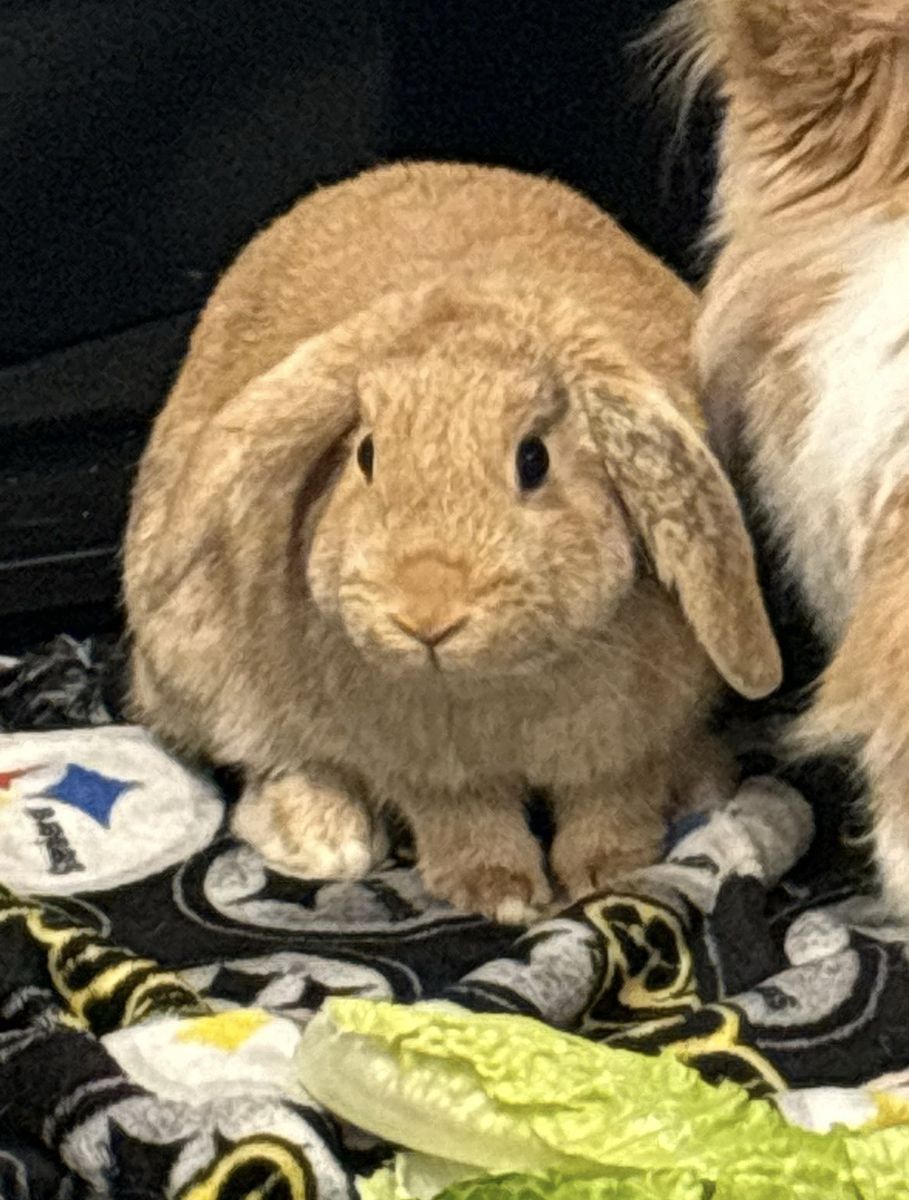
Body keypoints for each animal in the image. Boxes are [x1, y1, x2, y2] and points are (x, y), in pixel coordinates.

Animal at [123, 161, 781, 923]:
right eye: (366, 455)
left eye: (533, 460)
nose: (425, 613)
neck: (493, 681)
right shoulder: (428, 773)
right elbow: (465, 821)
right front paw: (501, 894)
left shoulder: (626, 748)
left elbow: (610, 803)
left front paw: (607, 873)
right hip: (209, 671)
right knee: (271, 758)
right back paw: (328, 838)